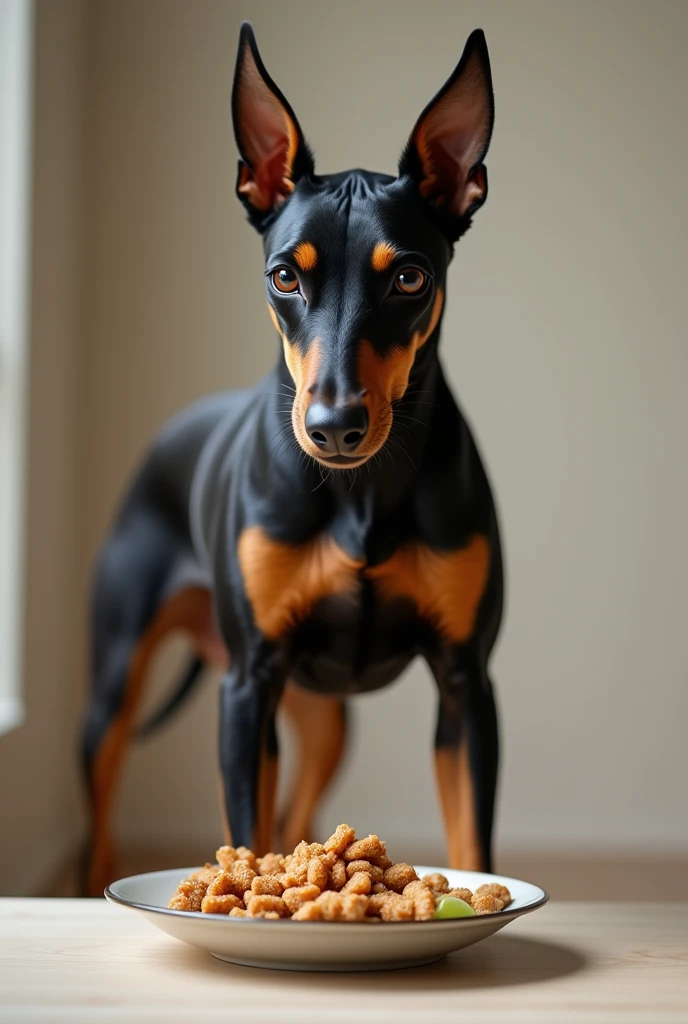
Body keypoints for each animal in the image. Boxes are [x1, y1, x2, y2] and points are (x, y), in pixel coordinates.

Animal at [80, 24, 501, 897]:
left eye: (410, 277)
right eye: (284, 276)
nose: (335, 426)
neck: (361, 491)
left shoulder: (466, 683)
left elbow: (472, 841)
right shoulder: (248, 685)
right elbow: (246, 830)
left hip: (325, 716)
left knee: (300, 806)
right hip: (115, 688)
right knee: (103, 819)